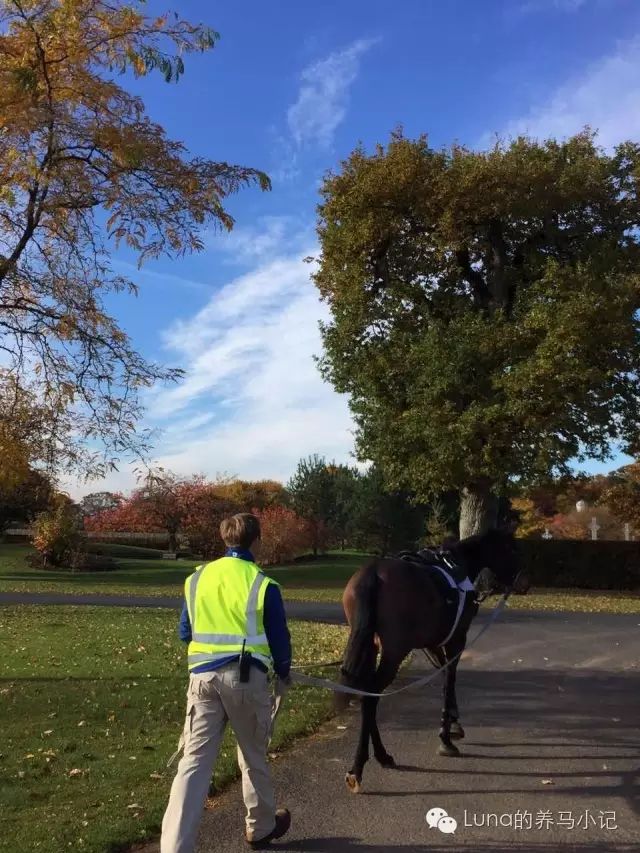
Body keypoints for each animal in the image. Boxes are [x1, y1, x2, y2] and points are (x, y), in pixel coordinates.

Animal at [338, 524, 528, 792]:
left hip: (370, 646)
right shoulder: (456, 639)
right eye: (512, 548)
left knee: (367, 693)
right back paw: (359, 766)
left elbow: (444, 675)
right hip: (394, 652)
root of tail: (373, 573)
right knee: (371, 696)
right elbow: (449, 679)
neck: (459, 566)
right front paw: (446, 737)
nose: (525, 581)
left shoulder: (433, 644)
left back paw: (381, 756)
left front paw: (454, 723)